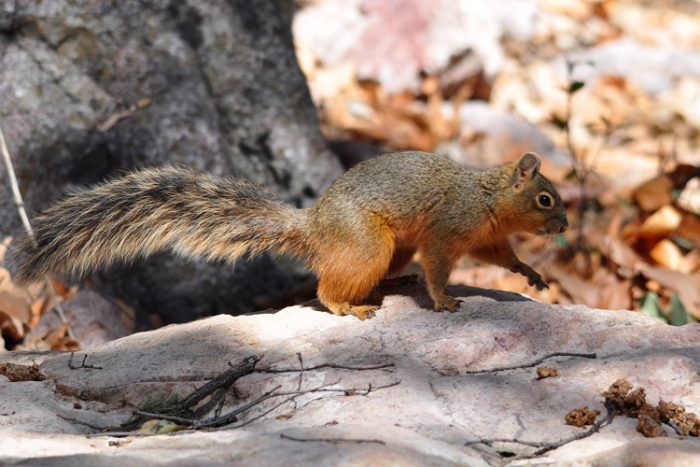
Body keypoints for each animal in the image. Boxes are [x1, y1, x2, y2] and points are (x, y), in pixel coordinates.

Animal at [10, 152, 568, 320]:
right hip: (370, 244)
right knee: (323, 288)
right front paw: (443, 298)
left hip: (389, 249)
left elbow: (501, 256)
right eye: (545, 199)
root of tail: (313, 228)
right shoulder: (447, 230)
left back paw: (386, 288)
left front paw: (530, 273)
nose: (564, 227)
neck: (488, 197)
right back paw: (348, 307)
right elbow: (436, 266)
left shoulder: (484, 238)